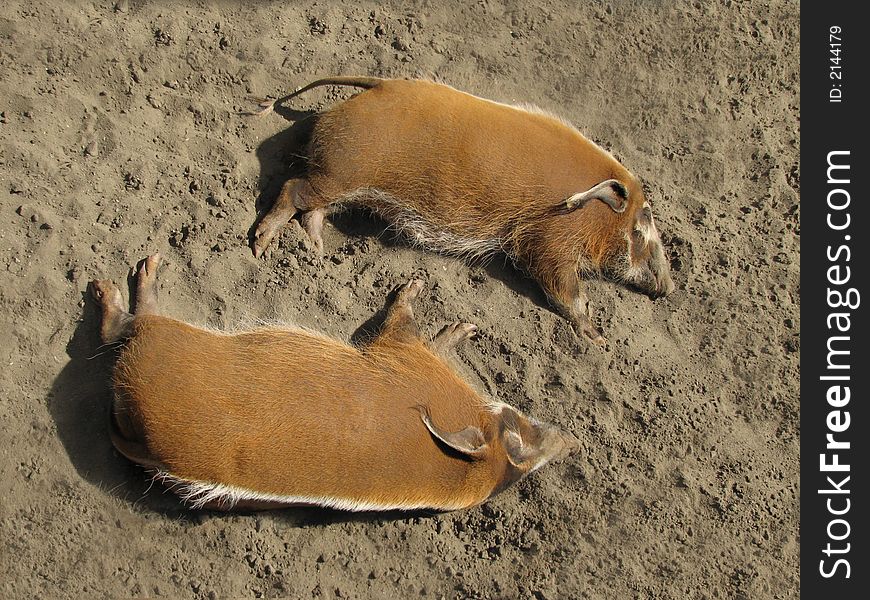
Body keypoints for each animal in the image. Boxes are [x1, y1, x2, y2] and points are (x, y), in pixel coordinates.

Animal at [90, 253, 580, 510]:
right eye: (514, 429)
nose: (573, 440)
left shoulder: (404, 356)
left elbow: (404, 324)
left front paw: (418, 294)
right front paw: (457, 325)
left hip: (162, 341)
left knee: (124, 328)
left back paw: (123, 284)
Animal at [249, 77, 676, 344]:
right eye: (642, 225)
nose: (669, 289)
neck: (591, 214)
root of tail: (379, 84)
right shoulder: (548, 243)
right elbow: (568, 292)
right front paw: (599, 339)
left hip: (338, 181)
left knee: (313, 208)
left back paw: (317, 249)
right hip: (339, 174)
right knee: (292, 190)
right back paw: (260, 246)